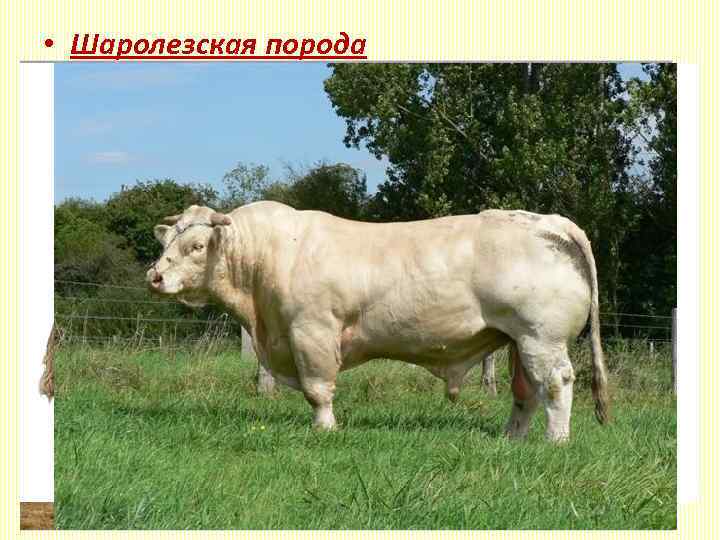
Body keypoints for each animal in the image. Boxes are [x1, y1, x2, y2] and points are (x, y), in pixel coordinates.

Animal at [147, 202, 610, 442]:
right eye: (166, 243)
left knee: (556, 384)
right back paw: (511, 439)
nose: (154, 276)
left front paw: (325, 429)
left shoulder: (311, 331)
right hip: (517, 339)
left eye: (197, 245)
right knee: (525, 392)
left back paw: (556, 440)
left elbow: (318, 389)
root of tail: (551, 221)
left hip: (541, 337)